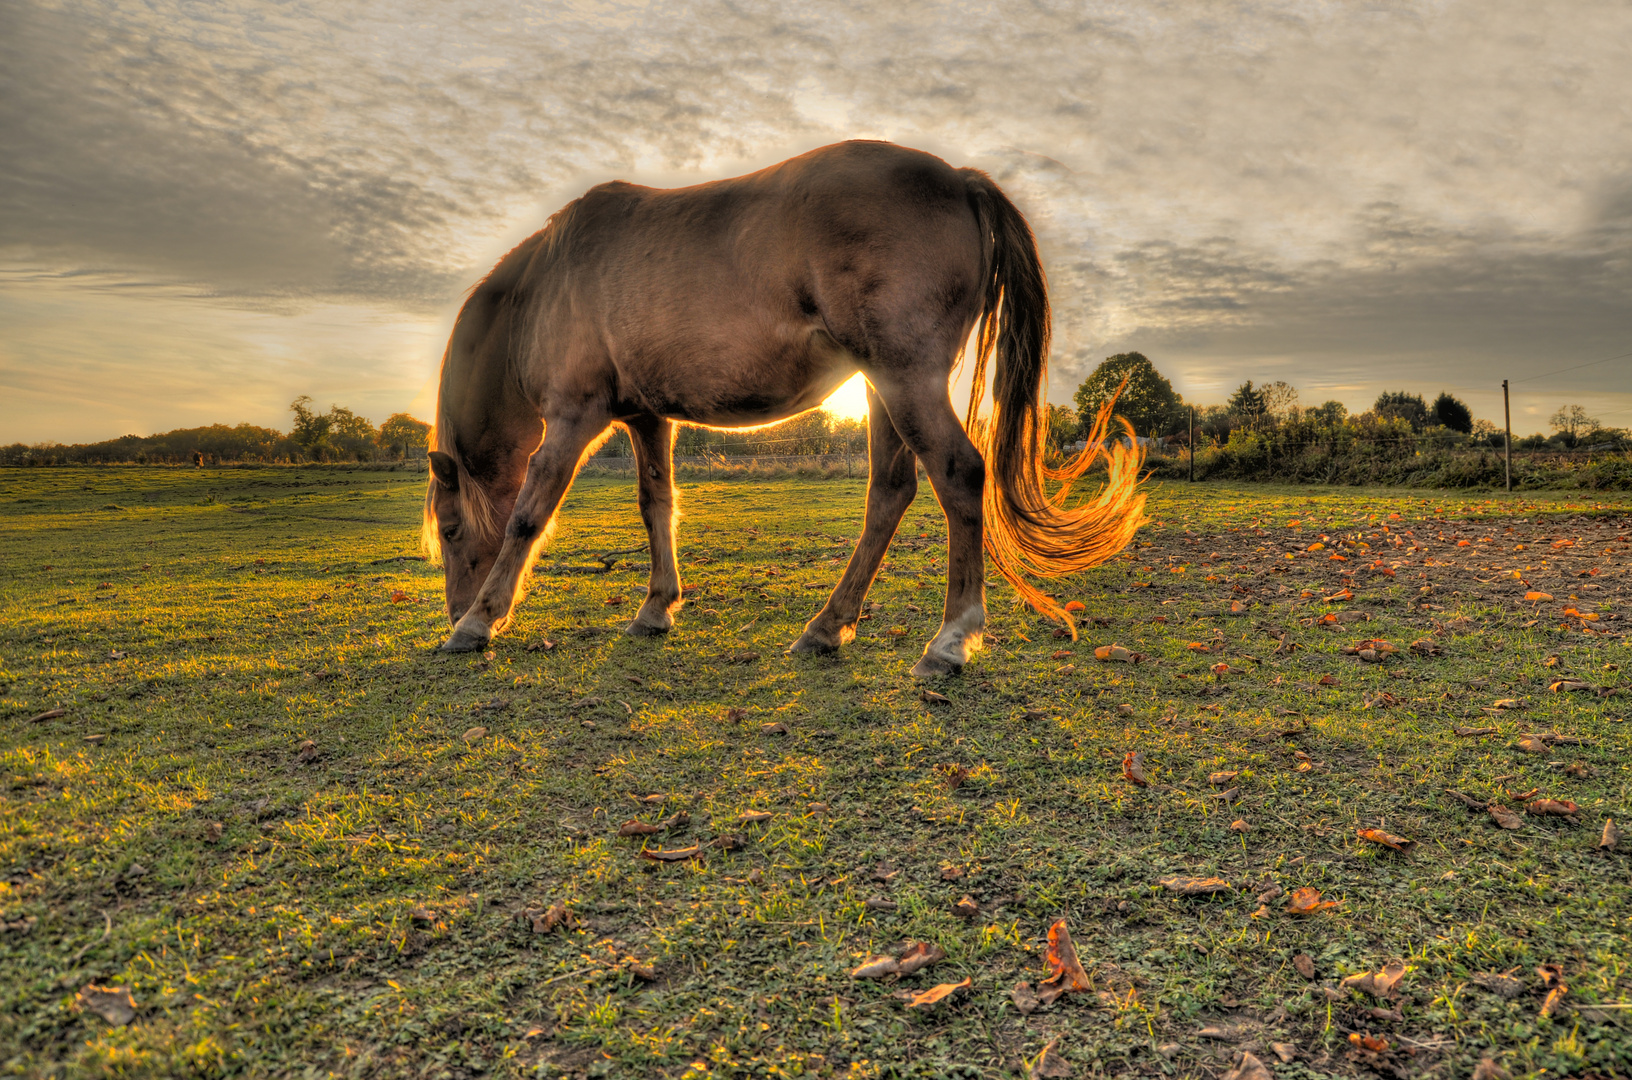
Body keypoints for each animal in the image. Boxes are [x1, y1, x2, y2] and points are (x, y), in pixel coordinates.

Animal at [427, 137, 1155, 678]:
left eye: (452, 531)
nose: (453, 609)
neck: (545, 288)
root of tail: (959, 179)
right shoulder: (646, 417)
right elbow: (656, 505)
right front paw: (656, 609)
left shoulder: (574, 416)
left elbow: (528, 515)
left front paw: (479, 623)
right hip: (883, 384)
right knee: (890, 492)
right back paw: (828, 628)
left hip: (904, 377)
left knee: (957, 474)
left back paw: (950, 639)